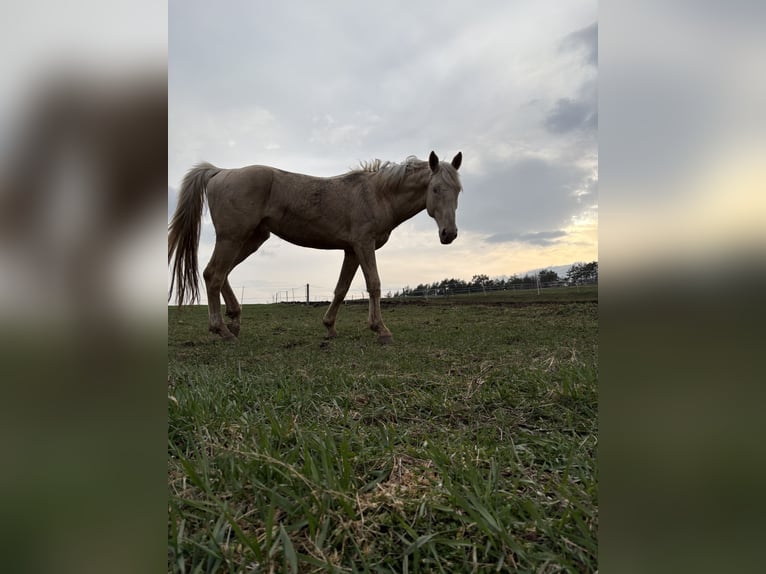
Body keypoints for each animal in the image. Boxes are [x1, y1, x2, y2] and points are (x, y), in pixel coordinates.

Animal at [168, 151, 463, 343]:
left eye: (458, 190)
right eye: (435, 189)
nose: (449, 234)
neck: (377, 194)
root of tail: (220, 172)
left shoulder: (351, 250)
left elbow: (342, 288)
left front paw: (330, 327)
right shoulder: (364, 244)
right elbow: (374, 284)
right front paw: (381, 330)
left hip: (251, 239)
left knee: (220, 273)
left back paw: (234, 320)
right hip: (232, 238)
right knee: (214, 274)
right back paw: (223, 330)